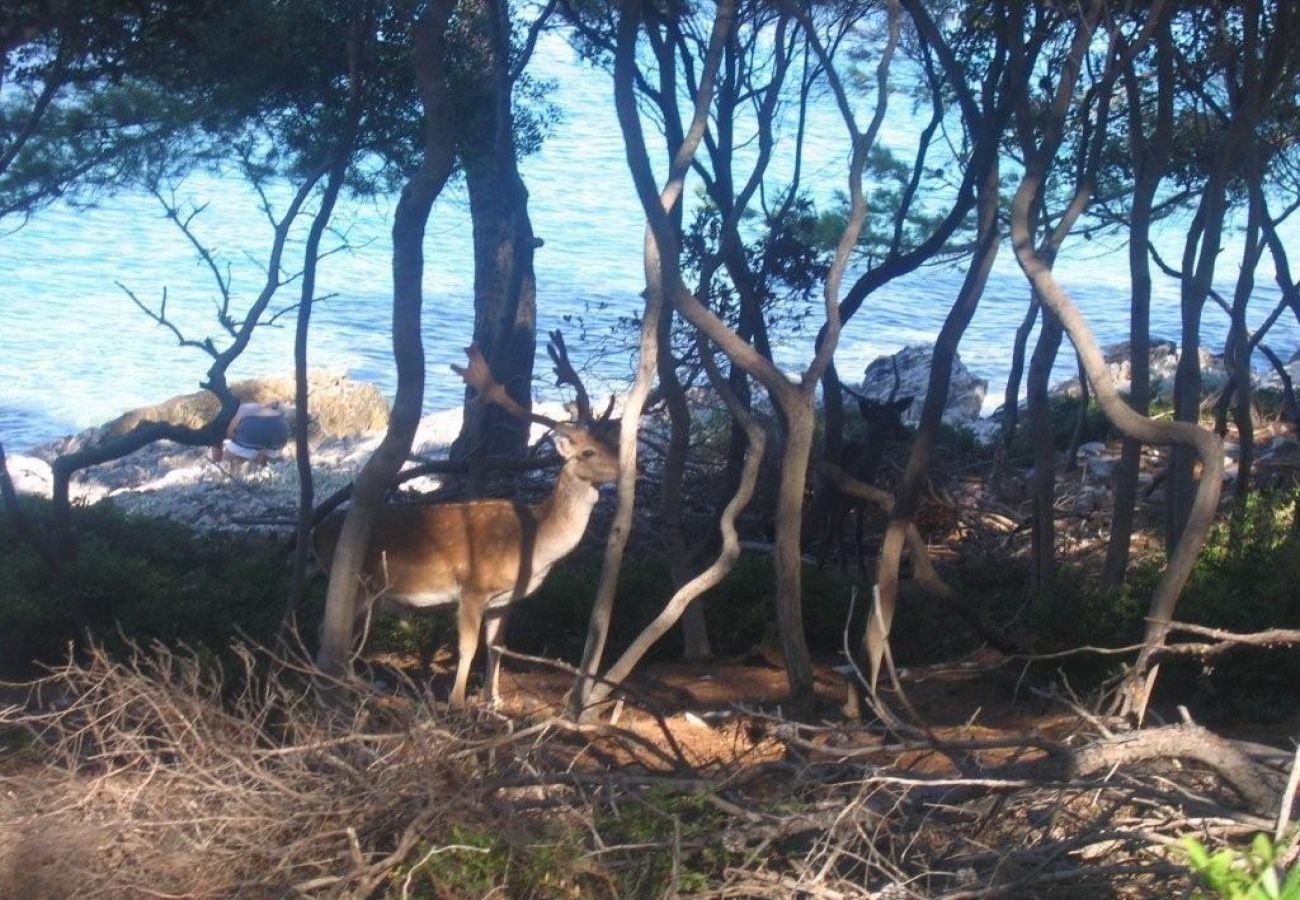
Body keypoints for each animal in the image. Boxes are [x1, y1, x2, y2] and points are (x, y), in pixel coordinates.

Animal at [314, 332, 618, 707]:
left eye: (610, 442)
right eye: (588, 452)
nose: (626, 466)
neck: (534, 544)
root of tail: (316, 533)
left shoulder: (504, 600)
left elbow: (497, 647)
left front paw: (495, 701)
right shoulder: (473, 586)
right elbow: (468, 647)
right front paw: (457, 702)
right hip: (358, 582)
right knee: (329, 630)